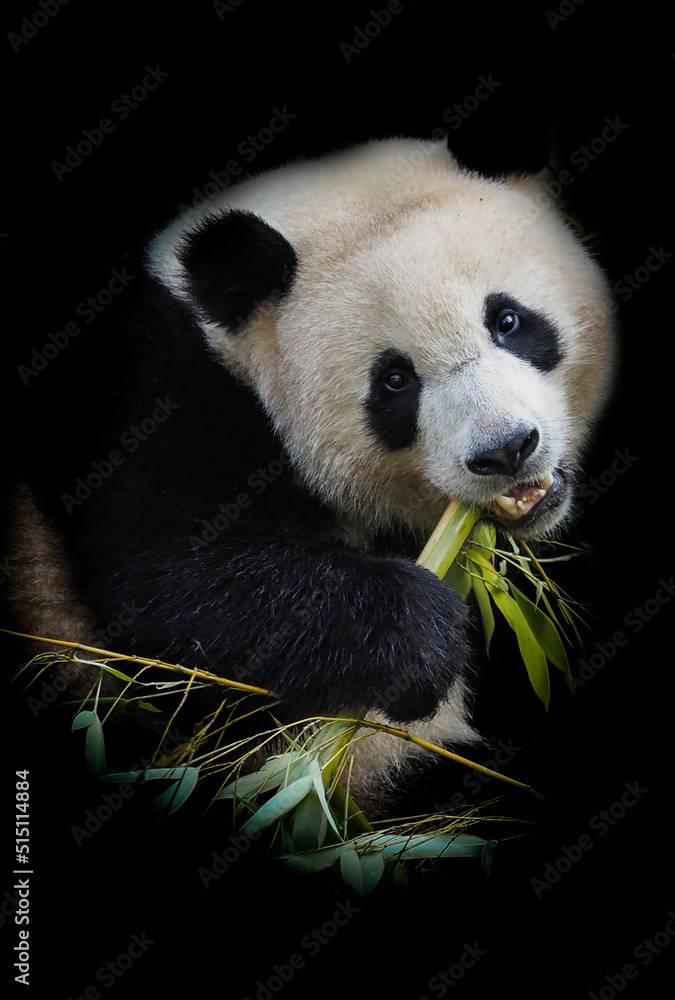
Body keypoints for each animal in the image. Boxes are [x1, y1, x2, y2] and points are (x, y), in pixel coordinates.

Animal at [6, 137, 615, 813]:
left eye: (508, 321)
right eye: (395, 381)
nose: (506, 450)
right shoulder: (156, 401)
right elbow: (167, 592)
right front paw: (417, 631)